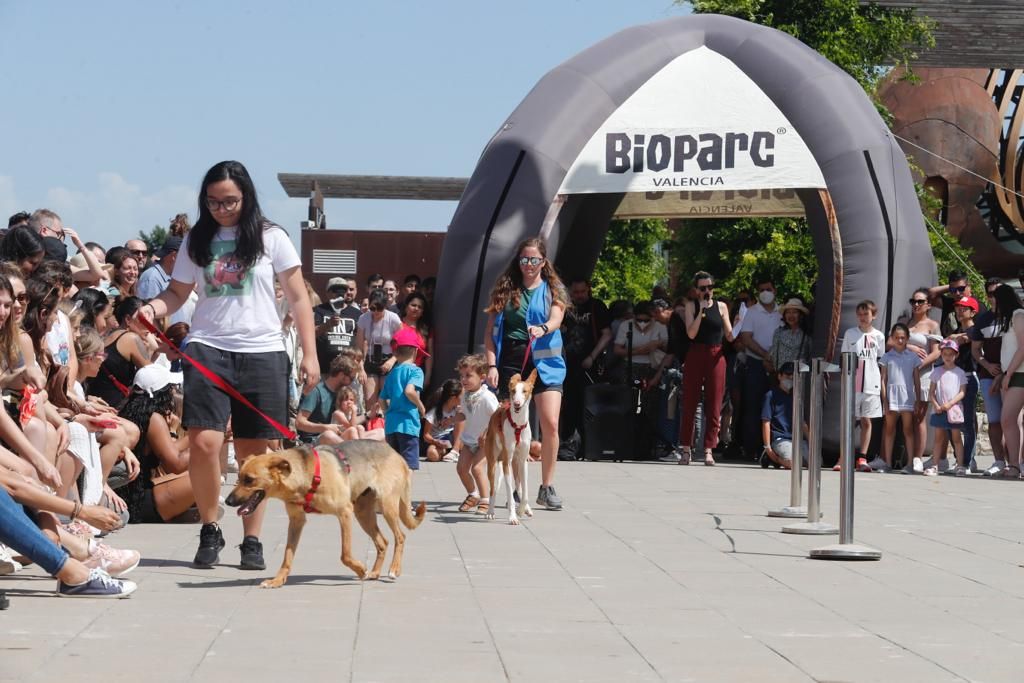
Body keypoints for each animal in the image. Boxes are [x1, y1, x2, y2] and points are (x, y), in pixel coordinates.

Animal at [226, 440, 425, 589]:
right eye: (238, 477)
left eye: (249, 480)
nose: (228, 501)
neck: (304, 475)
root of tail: (394, 452)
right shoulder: (296, 521)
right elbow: (287, 556)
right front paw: (277, 580)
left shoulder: (344, 512)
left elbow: (345, 554)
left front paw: (361, 569)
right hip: (363, 513)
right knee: (383, 542)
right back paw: (375, 573)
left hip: (386, 506)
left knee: (400, 537)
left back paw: (393, 569)